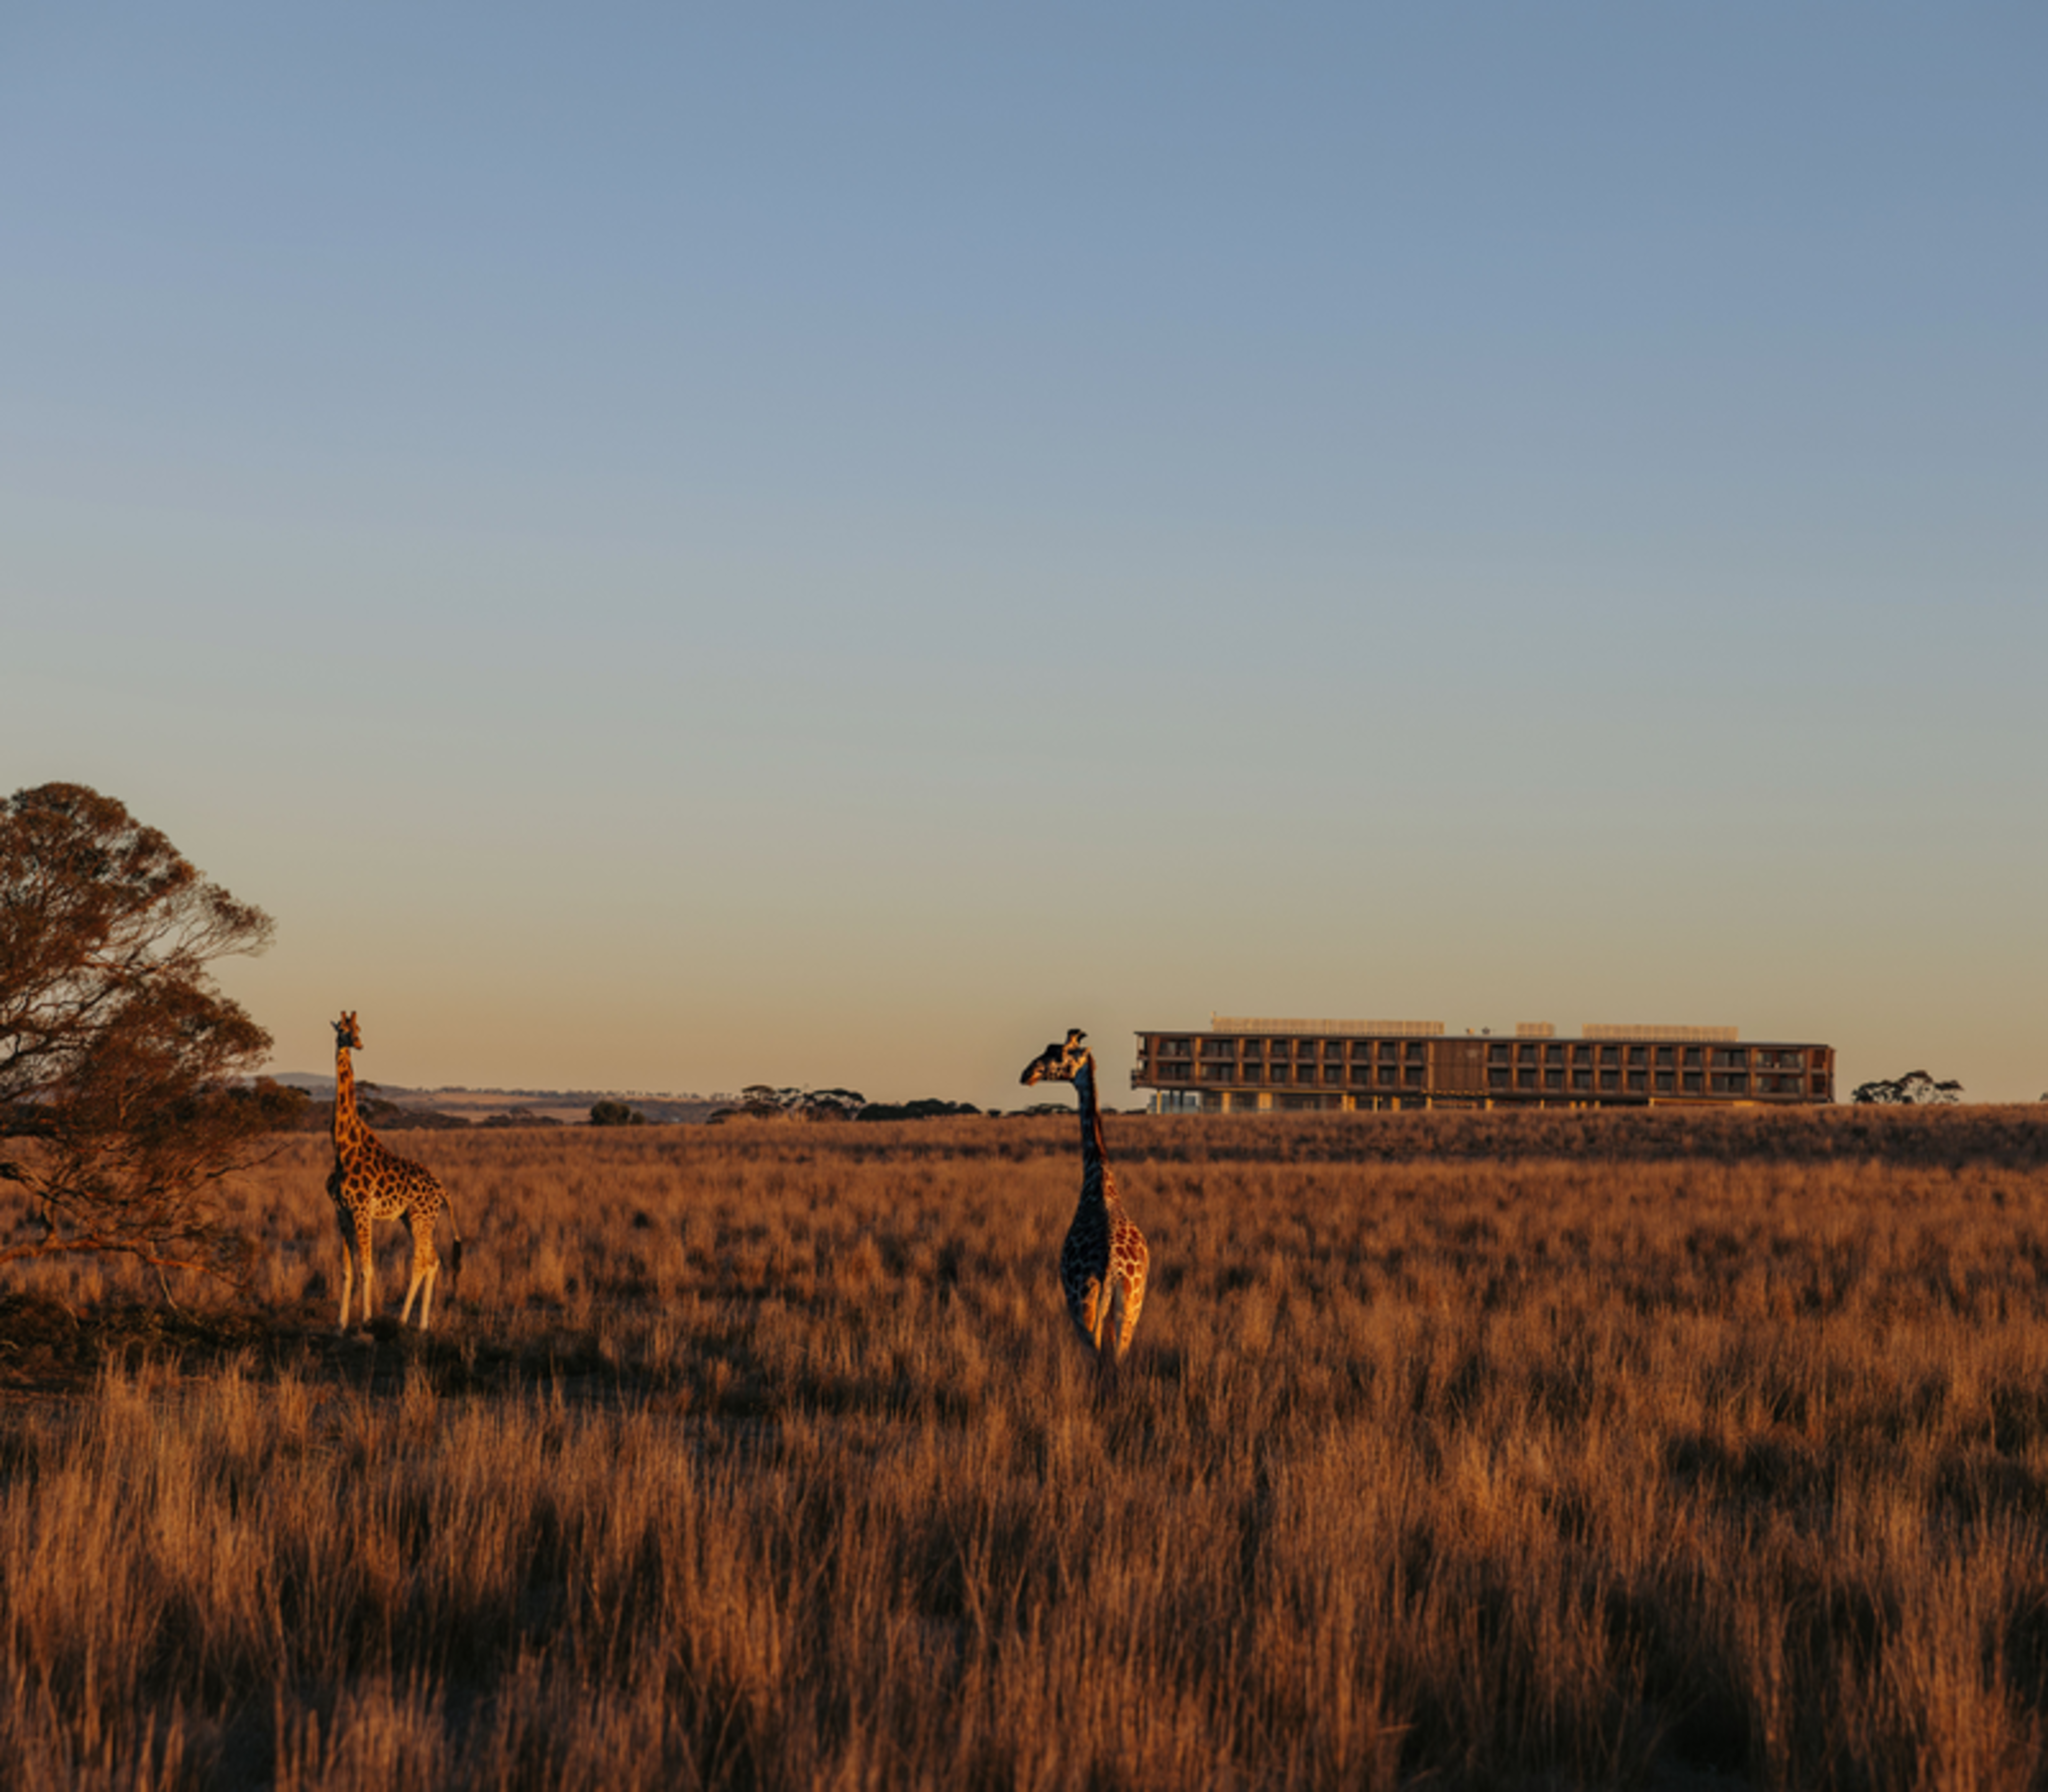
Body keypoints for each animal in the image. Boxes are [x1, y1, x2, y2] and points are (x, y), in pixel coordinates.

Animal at [327, 1011, 463, 1332]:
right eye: (343, 1029)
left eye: (359, 1028)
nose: (358, 1043)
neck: (343, 1149)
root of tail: (442, 1189)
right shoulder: (342, 1212)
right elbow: (347, 1270)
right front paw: (341, 1323)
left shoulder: (362, 1210)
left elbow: (367, 1268)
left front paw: (365, 1320)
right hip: (412, 1218)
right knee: (434, 1260)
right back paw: (422, 1324)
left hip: (420, 1217)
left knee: (422, 1261)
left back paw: (402, 1320)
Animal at [1021, 1028, 1149, 1365]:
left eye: (1058, 1053)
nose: (1028, 1073)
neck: (1099, 1181)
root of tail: (1114, 1270)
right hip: (1129, 1311)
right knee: (1118, 1359)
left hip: (1084, 1309)